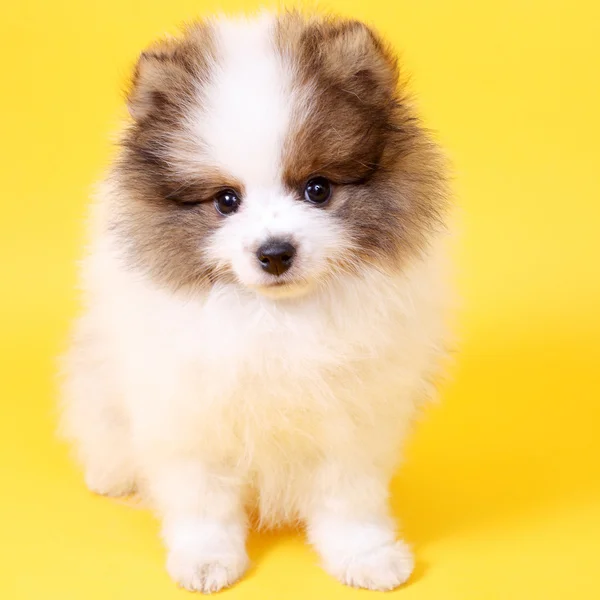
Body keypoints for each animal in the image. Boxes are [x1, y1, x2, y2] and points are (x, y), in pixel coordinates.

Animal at [61, 10, 450, 596]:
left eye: (318, 189)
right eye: (226, 200)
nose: (275, 252)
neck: (275, 319)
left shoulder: (353, 413)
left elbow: (349, 497)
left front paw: (365, 556)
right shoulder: (189, 410)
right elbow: (203, 500)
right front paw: (206, 560)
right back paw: (110, 473)